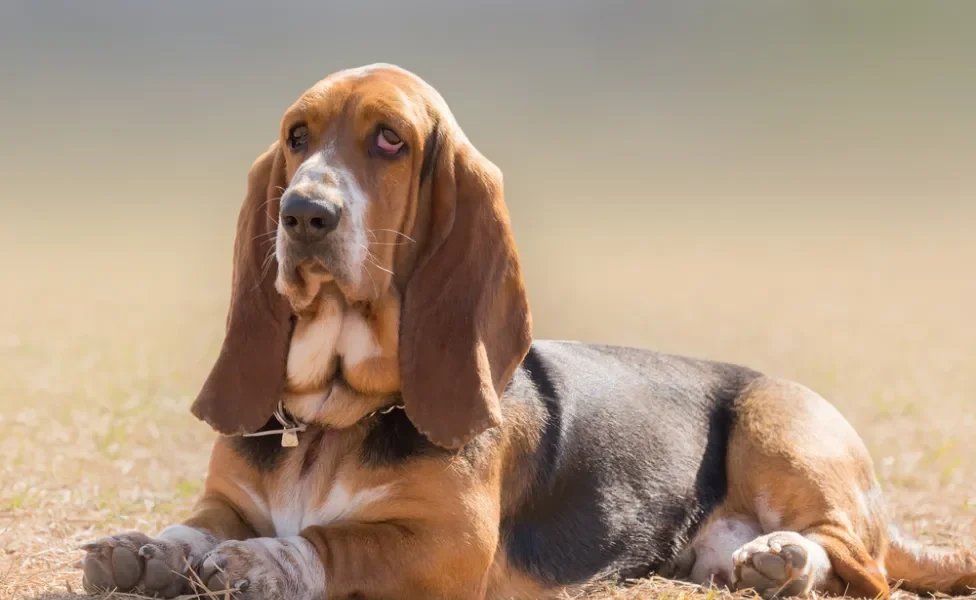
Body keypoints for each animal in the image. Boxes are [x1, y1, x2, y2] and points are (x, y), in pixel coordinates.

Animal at [84, 63, 976, 596]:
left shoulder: (446, 544)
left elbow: (336, 541)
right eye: (297, 137)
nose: (304, 213)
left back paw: (784, 555)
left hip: (779, 427)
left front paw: (265, 559)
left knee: (858, 560)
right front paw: (152, 549)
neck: (334, 418)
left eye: (389, 140)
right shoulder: (223, 498)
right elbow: (196, 522)